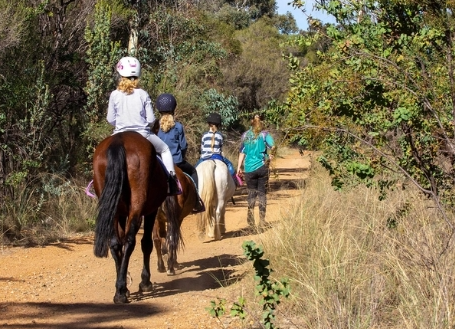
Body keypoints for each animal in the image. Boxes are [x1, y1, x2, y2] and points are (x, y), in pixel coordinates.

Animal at [93, 130, 181, 302]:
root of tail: (119, 140)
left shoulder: (120, 212)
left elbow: (119, 243)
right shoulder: (151, 210)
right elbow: (146, 243)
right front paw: (145, 282)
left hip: (112, 205)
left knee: (115, 243)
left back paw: (121, 289)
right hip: (138, 204)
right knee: (130, 241)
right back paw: (121, 291)